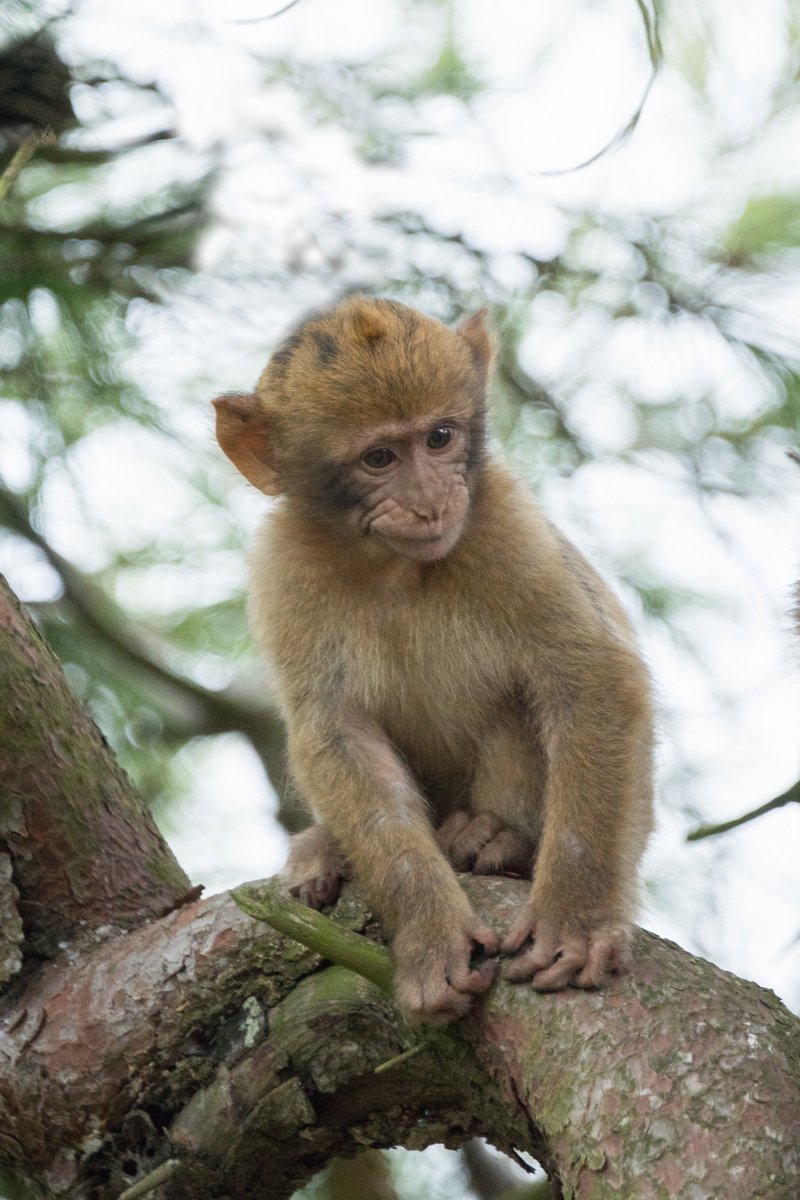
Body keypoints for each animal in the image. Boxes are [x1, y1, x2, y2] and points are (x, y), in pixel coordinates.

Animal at [213, 295, 654, 1021]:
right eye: (380, 457)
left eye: (440, 438)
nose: (428, 503)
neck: (394, 567)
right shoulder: (286, 569)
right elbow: (337, 734)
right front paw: (429, 932)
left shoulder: (504, 523)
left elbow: (591, 680)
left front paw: (577, 921)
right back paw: (326, 850)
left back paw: (497, 841)